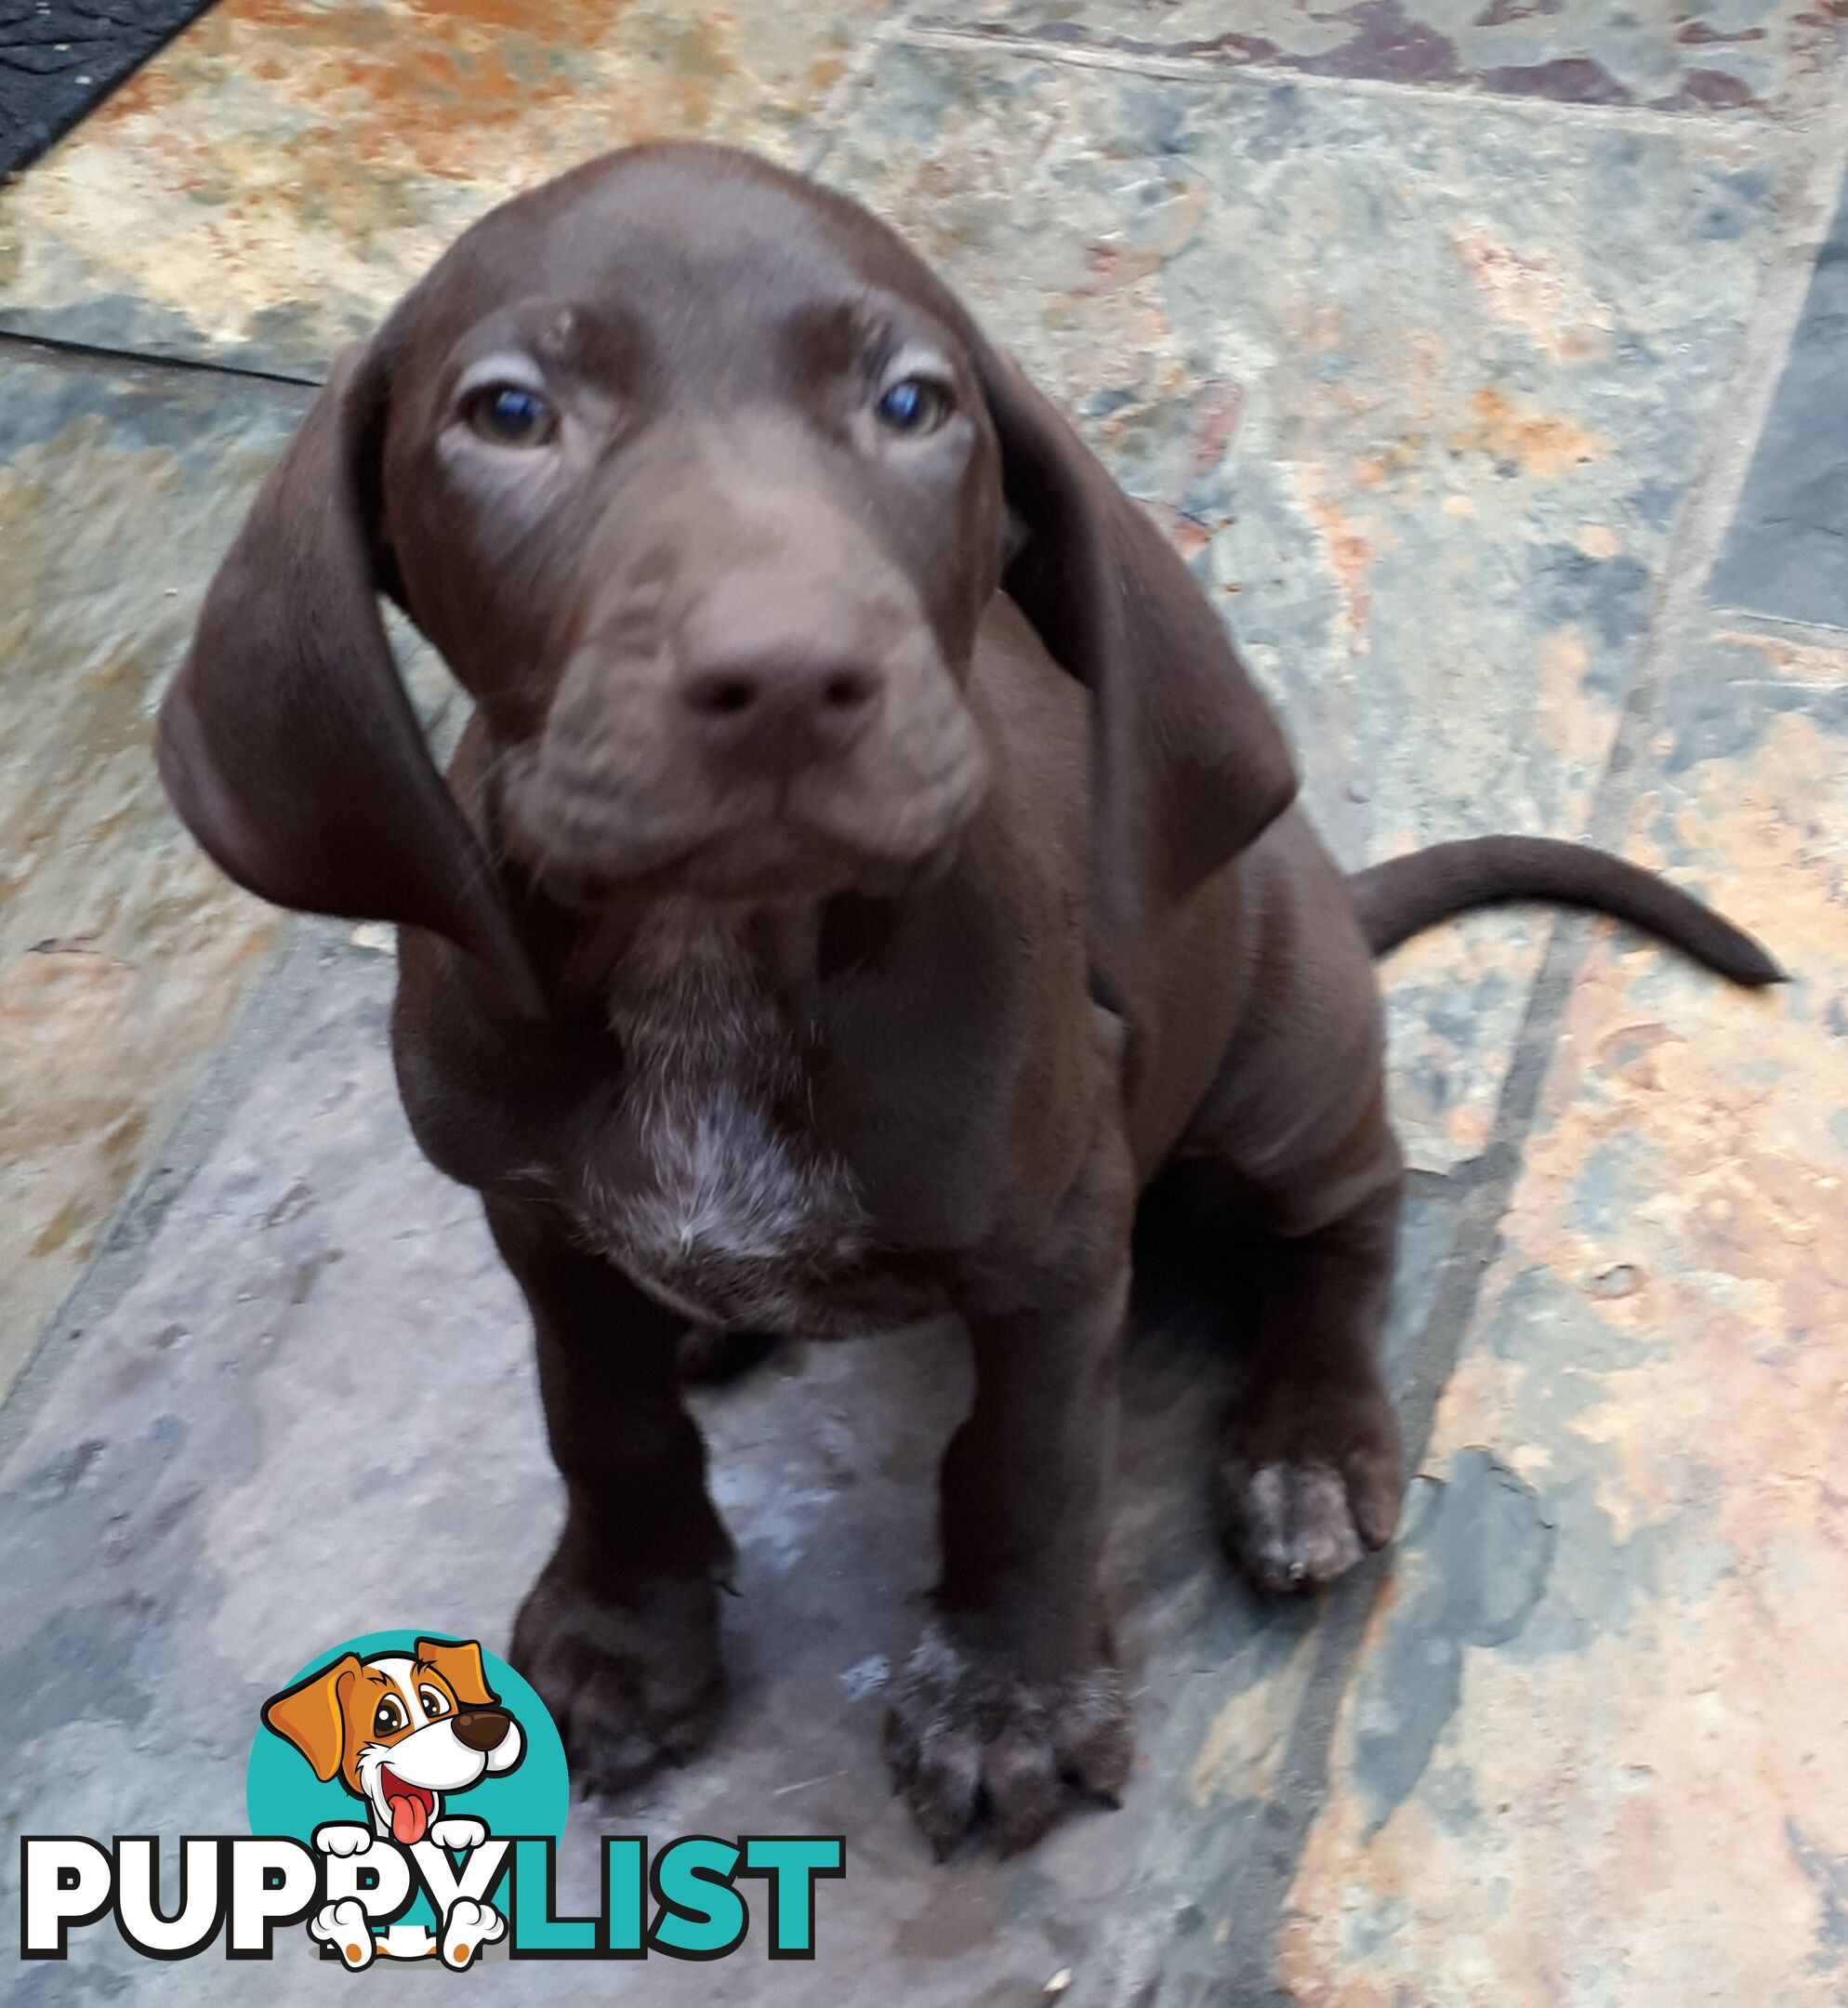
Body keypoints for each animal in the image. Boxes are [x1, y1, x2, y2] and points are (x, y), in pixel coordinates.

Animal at [155, 148, 1775, 1855]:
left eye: (914, 403)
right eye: (510, 413)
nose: (786, 676)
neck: (716, 953)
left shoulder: (1058, 1236)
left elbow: (1023, 1463)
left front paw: (1010, 1694)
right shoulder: (533, 1216)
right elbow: (596, 1417)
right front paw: (624, 1629)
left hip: (1286, 1061)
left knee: (1354, 1211)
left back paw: (1307, 1441)